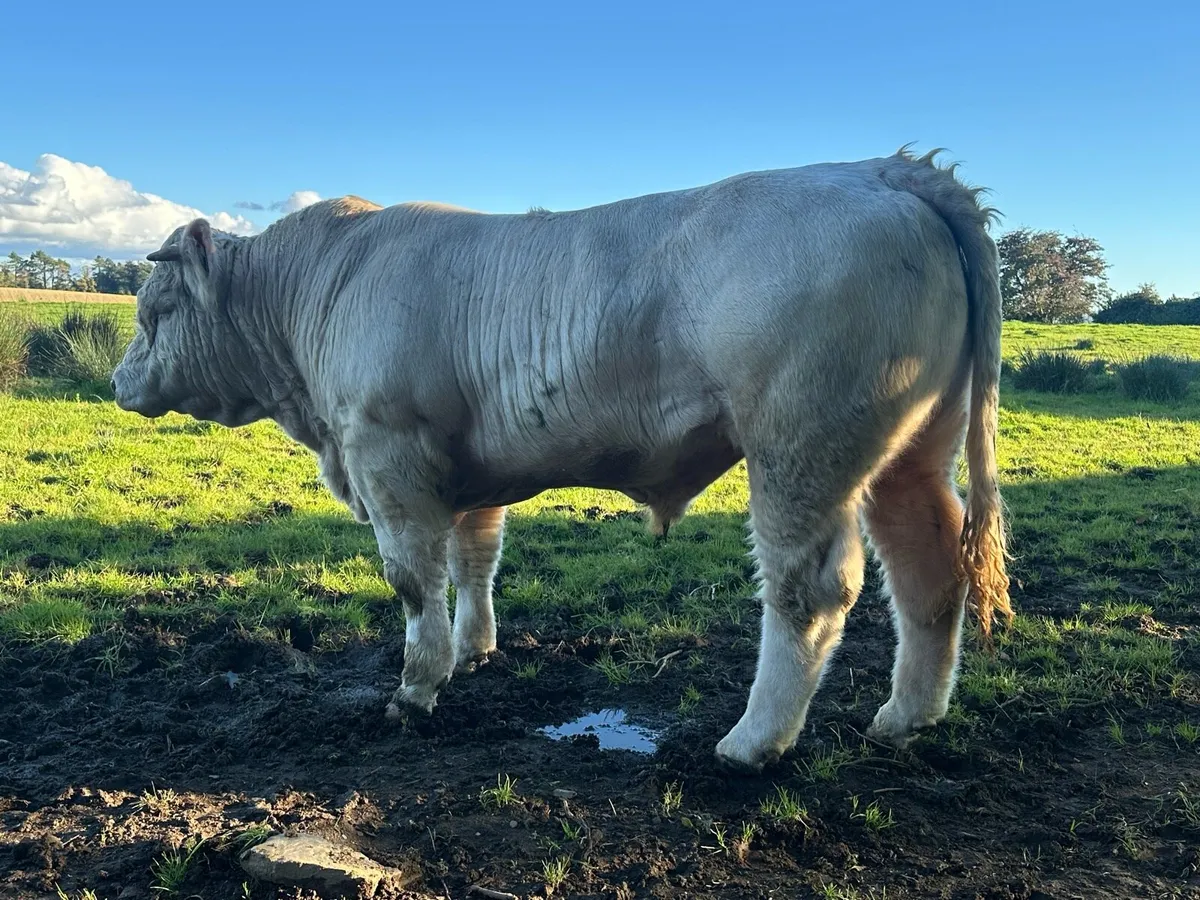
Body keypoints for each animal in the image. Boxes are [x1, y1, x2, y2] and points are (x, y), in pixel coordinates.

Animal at [112, 147, 1011, 773]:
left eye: (155, 308)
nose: (119, 380)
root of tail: (881, 169)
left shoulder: (387, 457)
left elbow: (413, 582)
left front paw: (417, 687)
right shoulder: (463, 471)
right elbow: (475, 560)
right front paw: (475, 651)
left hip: (800, 448)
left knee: (811, 592)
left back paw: (752, 743)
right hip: (912, 451)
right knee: (930, 569)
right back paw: (904, 719)